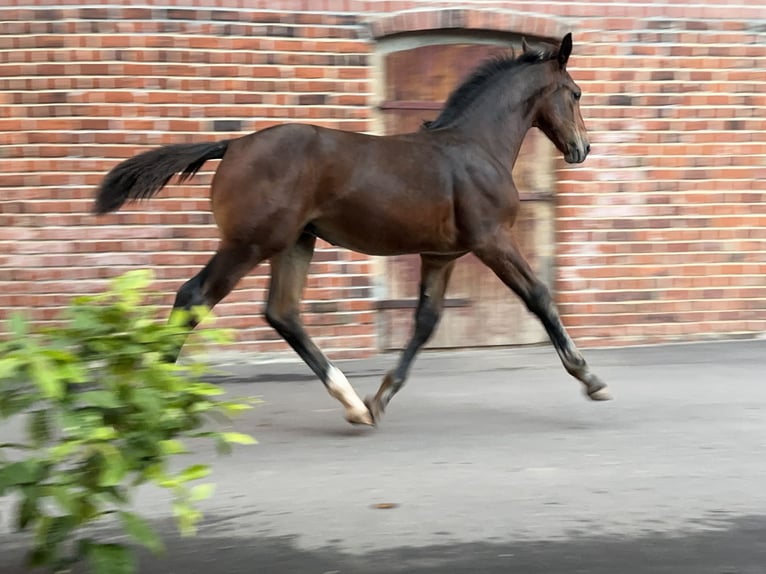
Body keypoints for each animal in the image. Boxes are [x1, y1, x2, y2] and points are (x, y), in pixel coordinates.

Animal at [94, 32, 612, 428]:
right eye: (576, 92)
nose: (582, 148)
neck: (475, 146)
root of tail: (233, 144)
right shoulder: (492, 241)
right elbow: (539, 296)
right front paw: (590, 379)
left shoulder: (440, 255)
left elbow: (426, 321)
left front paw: (380, 398)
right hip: (250, 243)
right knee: (194, 296)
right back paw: (157, 400)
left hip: (295, 242)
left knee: (282, 312)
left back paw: (353, 404)